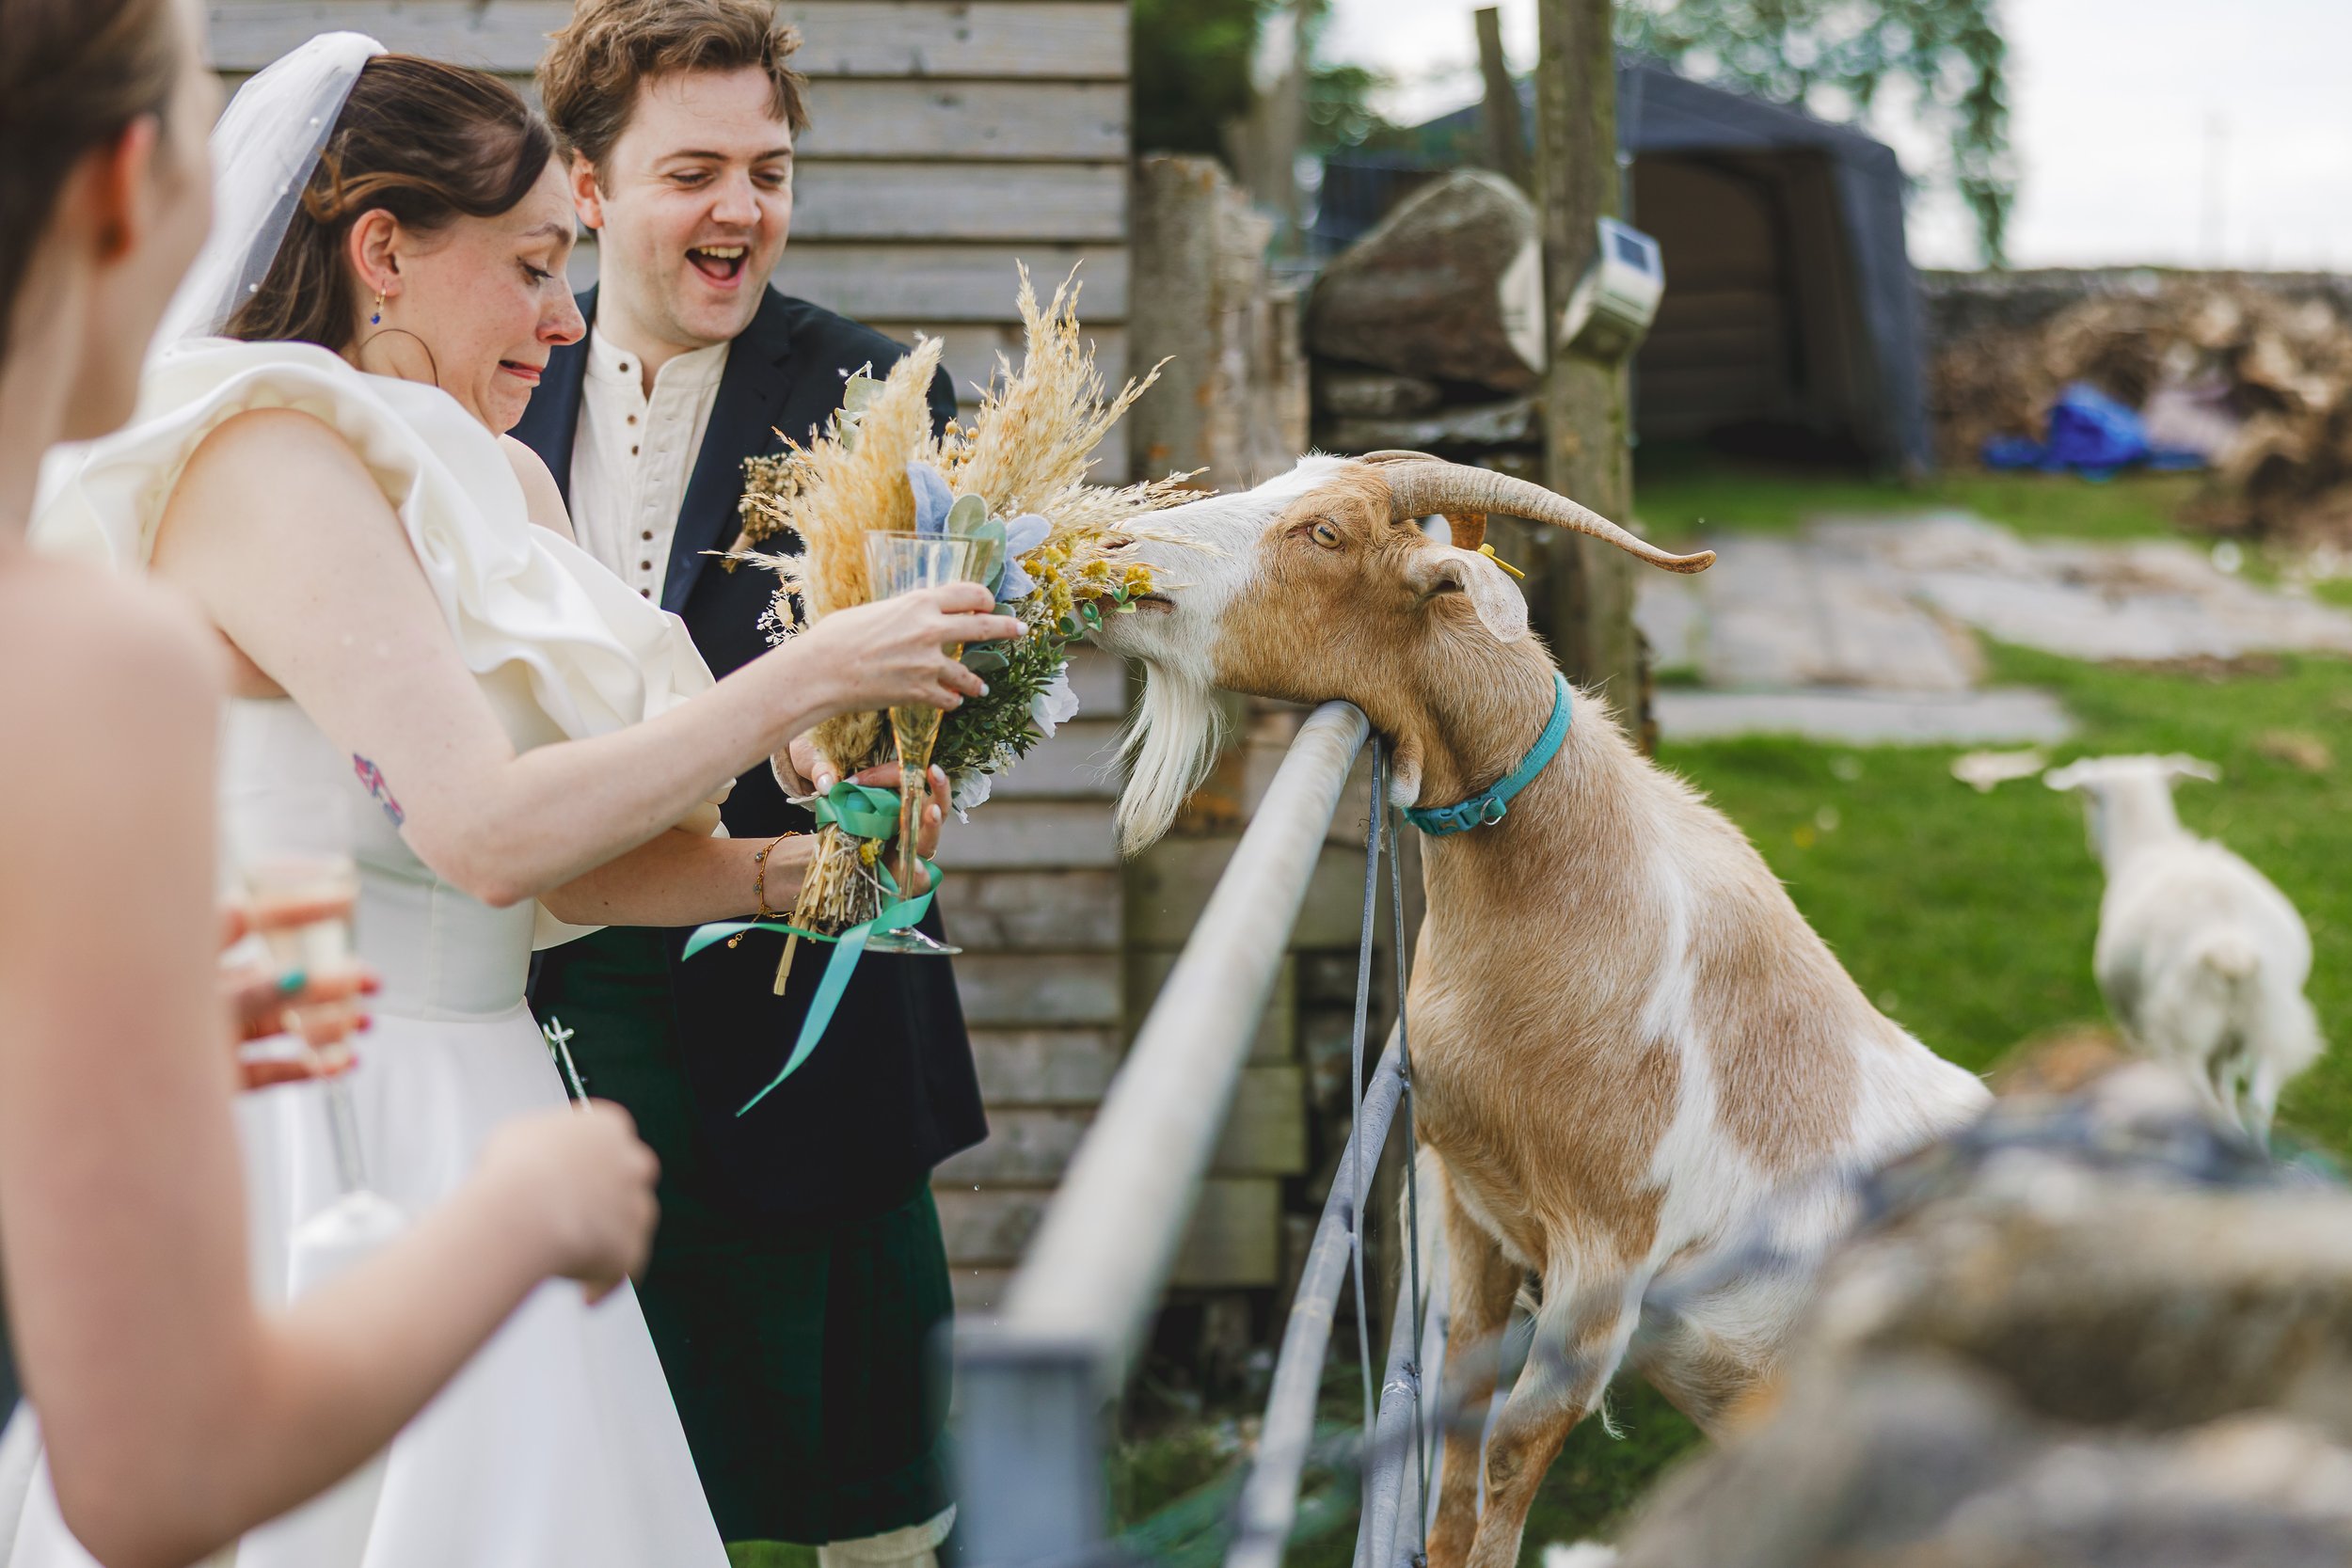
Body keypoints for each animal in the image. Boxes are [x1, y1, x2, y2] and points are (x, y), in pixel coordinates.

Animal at [1092, 452, 1992, 1568]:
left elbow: (1514, 1449)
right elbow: (1457, 1415)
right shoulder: (1473, 1202)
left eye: (1326, 534)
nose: (1115, 546)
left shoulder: (1607, 1261)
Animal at [2044, 754, 2323, 1143]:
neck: (2149, 845)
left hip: (2182, 1031)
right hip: (2271, 1025)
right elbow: (2227, 1086)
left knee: (2208, 1108)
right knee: (2256, 1107)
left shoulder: (2127, 1012)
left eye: (2089, 799)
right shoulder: (2229, 1045)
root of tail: (2231, 948)